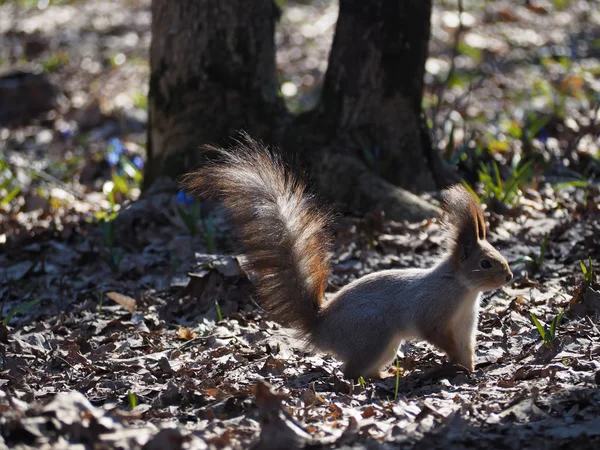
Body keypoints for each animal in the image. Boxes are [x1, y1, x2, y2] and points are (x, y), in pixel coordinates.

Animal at [182, 135, 510, 378]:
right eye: (485, 263)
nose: (509, 276)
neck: (463, 289)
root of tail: (321, 327)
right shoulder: (432, 308)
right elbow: (435, 333)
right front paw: (454, 361)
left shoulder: (465, 323)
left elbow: (467, 346)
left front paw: (470, 368)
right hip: (374, 333)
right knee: (349, 370)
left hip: (387, 344)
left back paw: (388, 375)